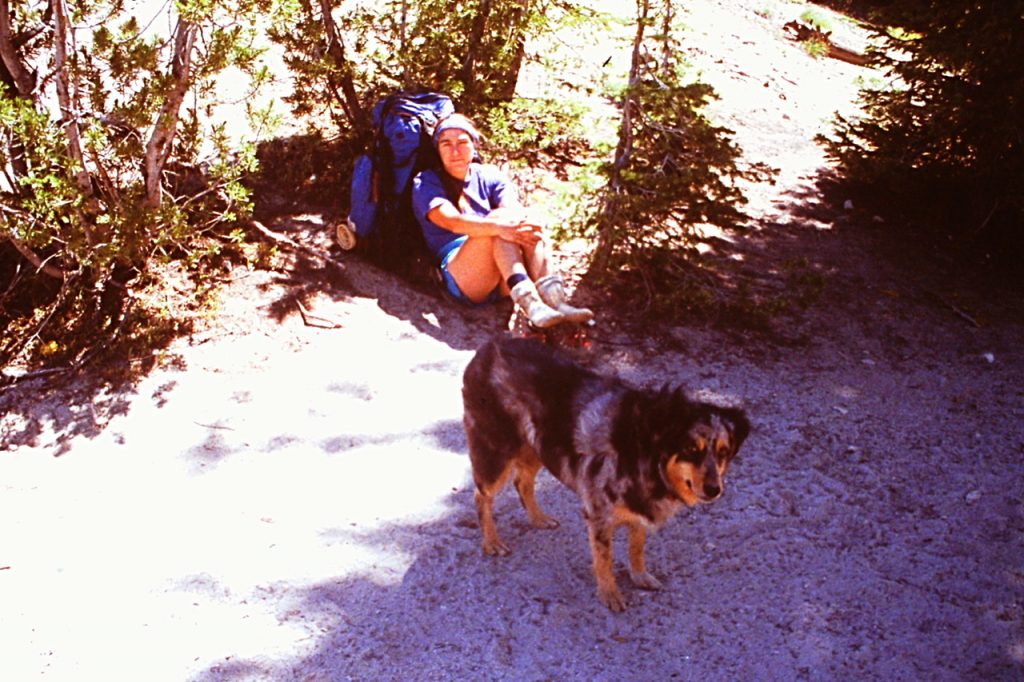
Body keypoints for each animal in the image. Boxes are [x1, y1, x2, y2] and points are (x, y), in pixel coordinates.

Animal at [460, 333, 749, 610]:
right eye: (691, 449)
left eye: (723, 452)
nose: (714, 490)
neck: (644, 450)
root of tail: (488, 347)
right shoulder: (599, 516)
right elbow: (604, 560)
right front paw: (610, 594)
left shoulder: (638, 510)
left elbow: (636, 548)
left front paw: (639, 576)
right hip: (496, 454)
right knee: (482, 496)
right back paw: (491, 542)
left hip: (536, 447)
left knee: (522, 482)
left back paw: (538, 518)